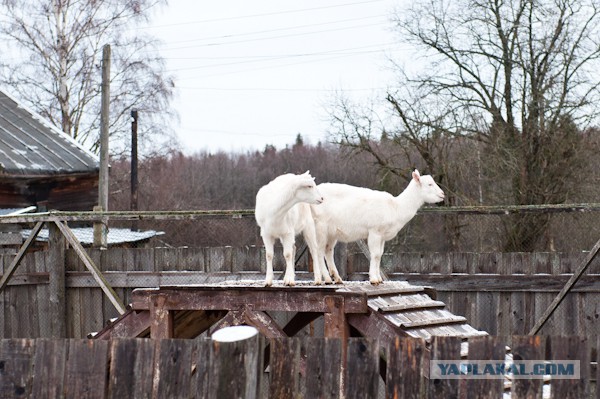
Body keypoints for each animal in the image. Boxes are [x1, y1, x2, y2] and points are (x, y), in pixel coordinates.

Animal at [312, 170, 442, 286]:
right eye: (429, 184)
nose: (442, 194)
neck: (396, 208)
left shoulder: (382, 236)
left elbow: (380, 254)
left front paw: (380, 279)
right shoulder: (375, 231)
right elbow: (374, 254)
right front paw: (373, 279)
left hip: (332, 232)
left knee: (328, 250)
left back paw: (337, 278)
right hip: (320, 226)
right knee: (319, 251)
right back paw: (327, 279)